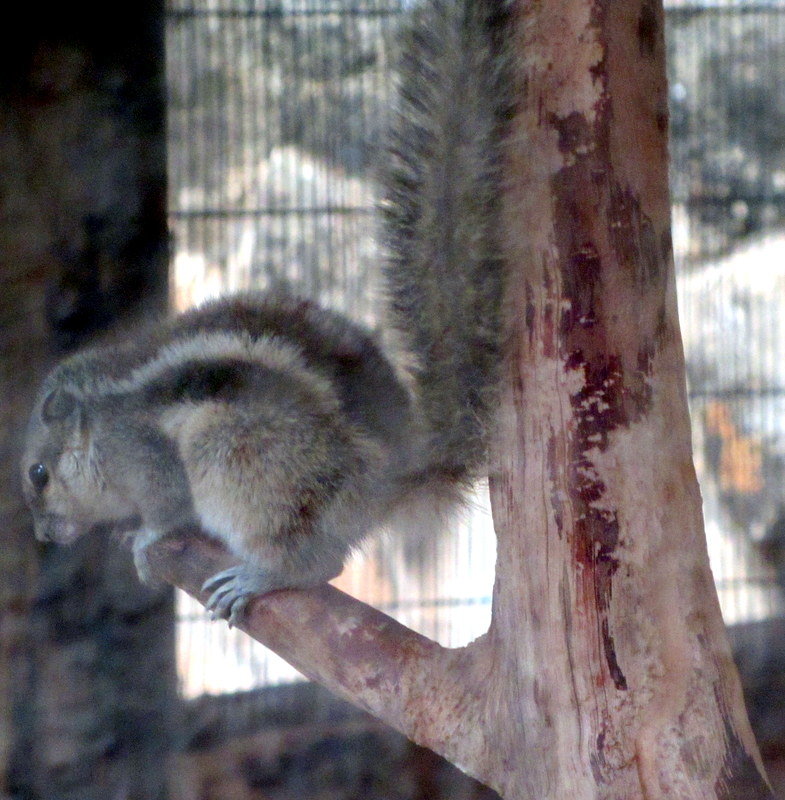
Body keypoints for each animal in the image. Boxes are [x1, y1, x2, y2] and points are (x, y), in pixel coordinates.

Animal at [19, 0, 508, 624]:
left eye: (39, 475)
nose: (45, 536)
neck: (101, 421)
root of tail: (393, 478)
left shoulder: (148, 459)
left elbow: (169, 511)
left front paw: (146, 539)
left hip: (234, 454)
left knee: (320, 562)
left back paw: (262, 575)